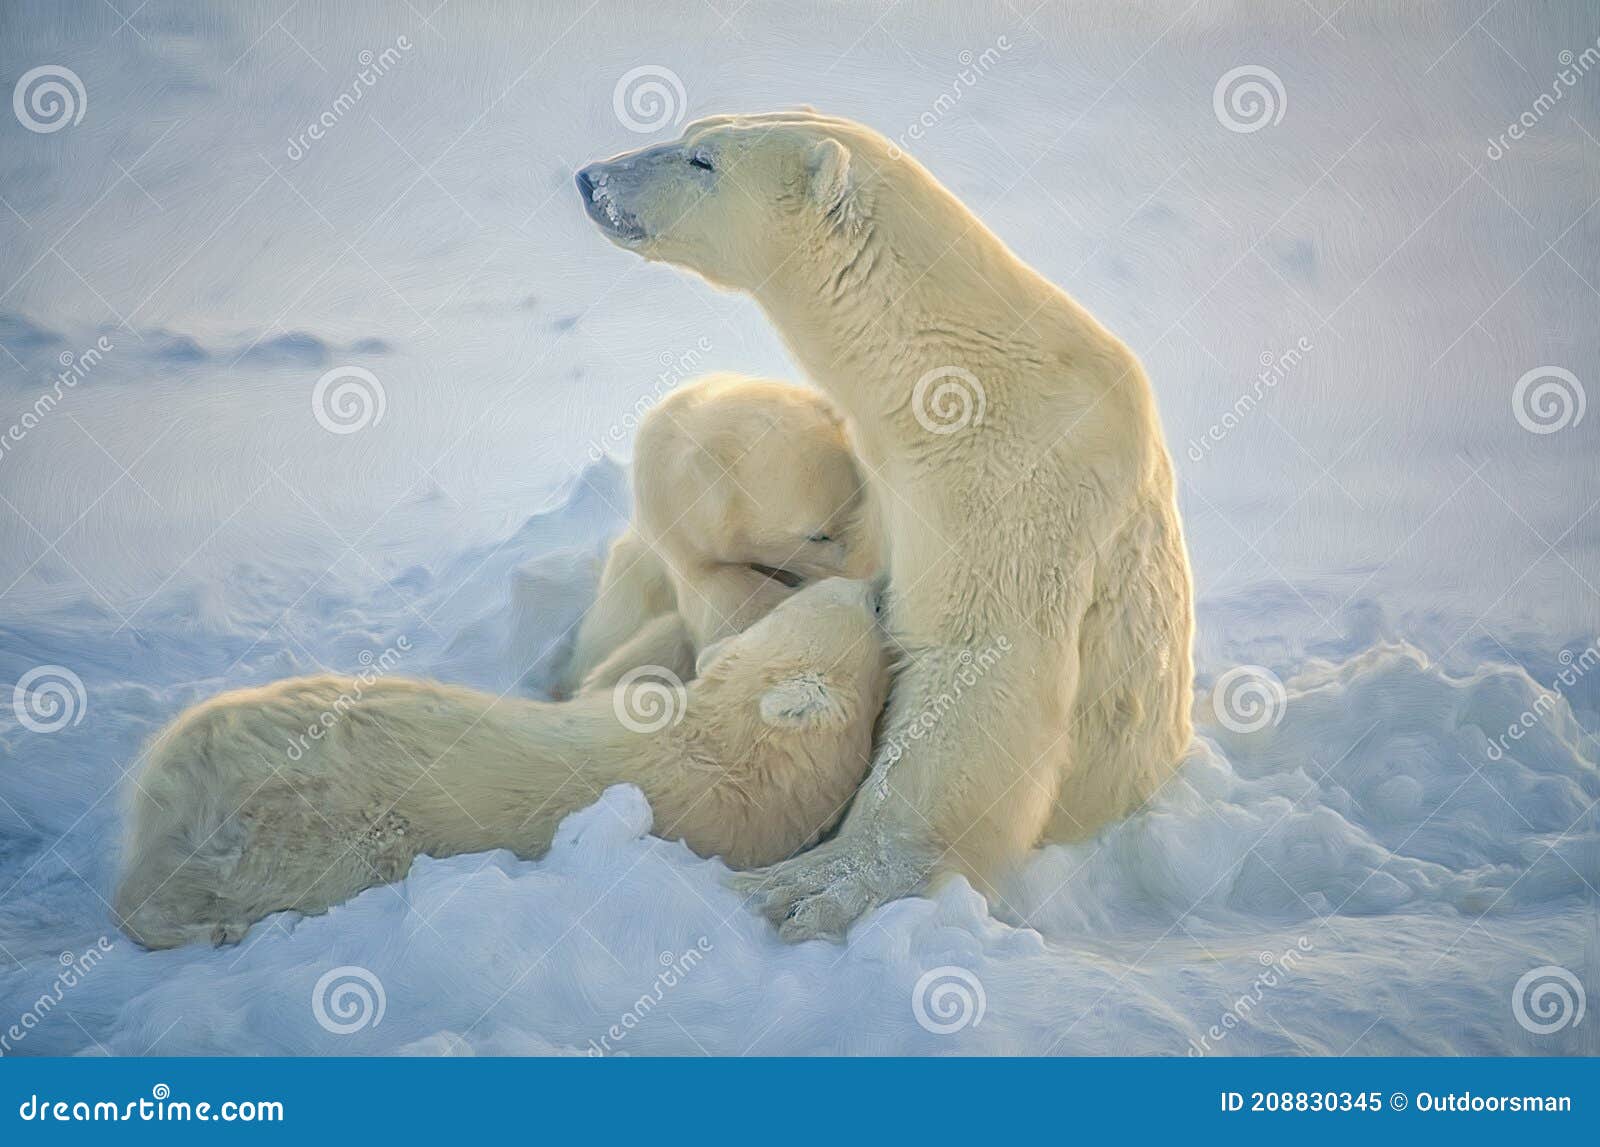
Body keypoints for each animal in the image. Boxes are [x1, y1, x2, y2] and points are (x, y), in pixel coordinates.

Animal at [576, 109, 1190, 940]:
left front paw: (811, 885)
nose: (592, 180)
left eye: (705, 160)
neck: (949, 375)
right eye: (692, 128)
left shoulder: (1014, 481)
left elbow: (978, 665)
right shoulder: (873, 479)